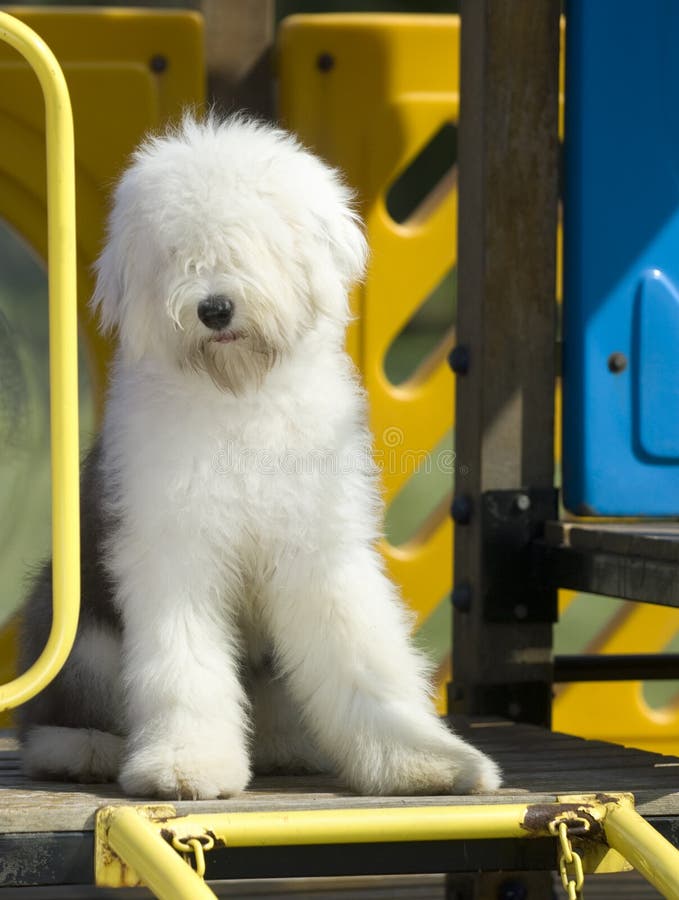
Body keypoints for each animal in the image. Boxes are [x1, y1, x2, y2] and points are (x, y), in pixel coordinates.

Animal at [18, 116, 502, 800]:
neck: (241, 397)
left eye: (252, 244)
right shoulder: (173, 549)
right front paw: (186, 767)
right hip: (73, 622)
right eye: (179, 254)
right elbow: (184, 664)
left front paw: (425, 762)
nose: (214, 308)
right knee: (52, 722)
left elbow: (362, 658)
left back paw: (287, 746)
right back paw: (85, 750)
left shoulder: (320, 548)